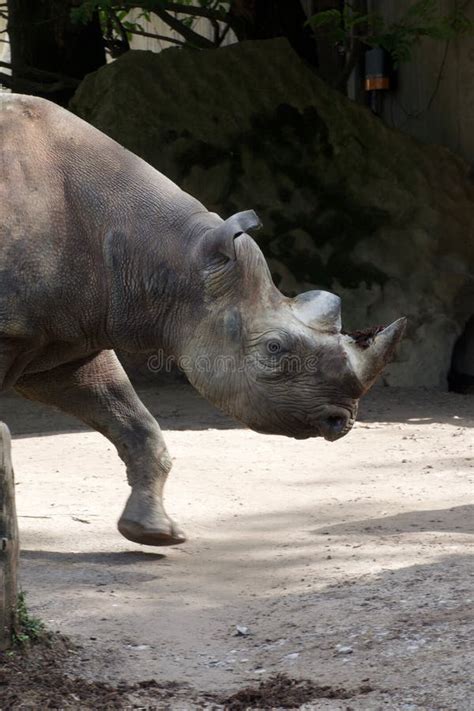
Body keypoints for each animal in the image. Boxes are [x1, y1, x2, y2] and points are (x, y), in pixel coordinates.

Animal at [1, 94, 406, 548]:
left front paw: (155, 533)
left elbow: (133, 420)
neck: (168, 259)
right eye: (274, 348)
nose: (342, 421)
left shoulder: (62, 335)